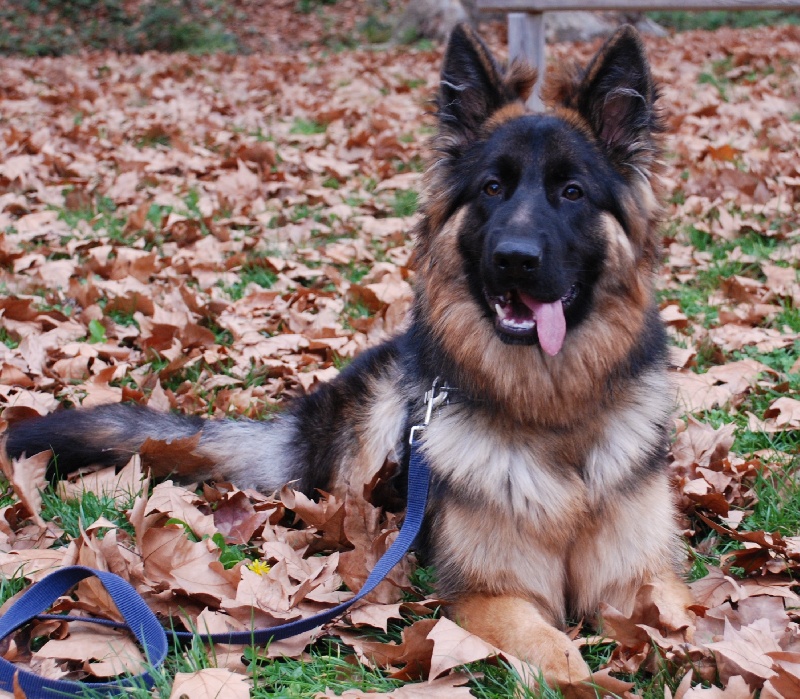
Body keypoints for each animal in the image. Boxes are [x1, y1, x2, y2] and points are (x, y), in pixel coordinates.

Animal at [4, 24, 692, 692]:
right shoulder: (490, 595)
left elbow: (684, 621)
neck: (554, 413)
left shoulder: (642, 579)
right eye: (493, 188)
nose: (514, 260)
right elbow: (552, 646)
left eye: (572, 191)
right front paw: (590, 678)